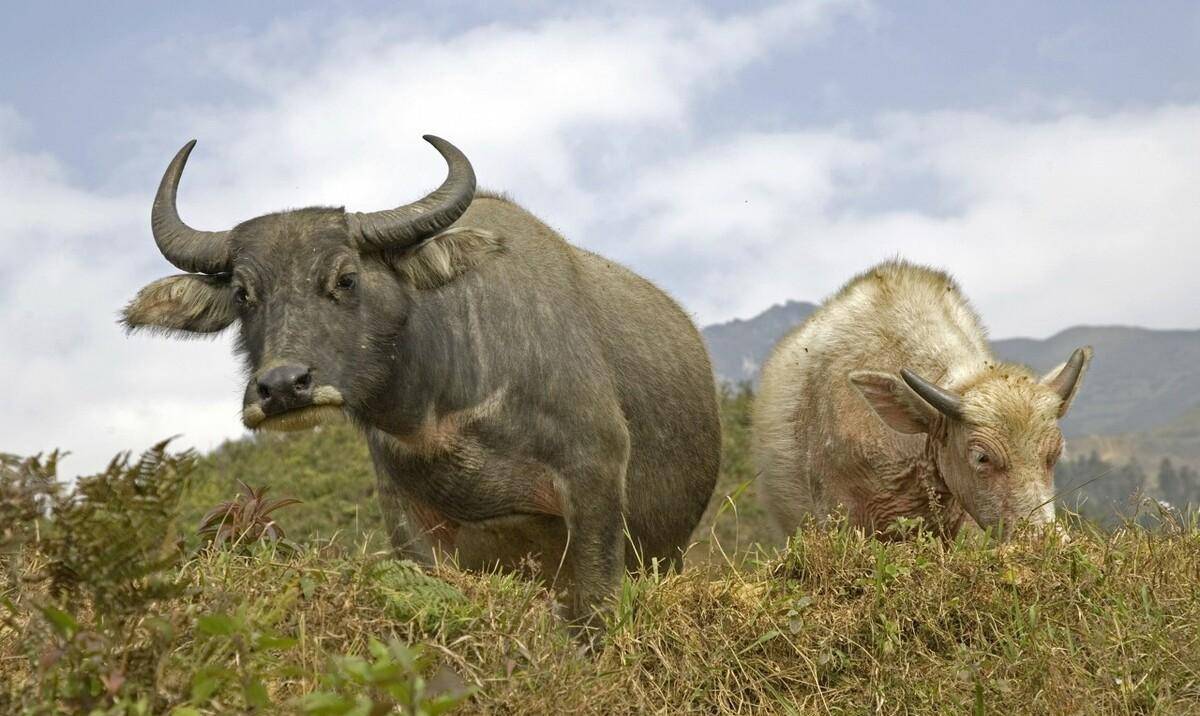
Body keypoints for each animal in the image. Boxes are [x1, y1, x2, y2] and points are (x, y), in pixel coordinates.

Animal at [125, 134, 715, 618]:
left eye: (346, 277)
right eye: (244, 294)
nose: (283, 387)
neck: (444, 409)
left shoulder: (595, 481)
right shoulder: (408, 519)